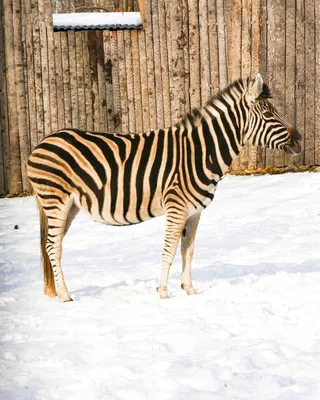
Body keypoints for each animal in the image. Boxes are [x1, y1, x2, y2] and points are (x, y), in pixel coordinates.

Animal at [26, 74, 300, 304]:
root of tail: (42, 142)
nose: (300, 139)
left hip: (68, 206)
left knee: (53, 245)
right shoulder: (176, 207)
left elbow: (188, 251)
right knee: (52, 246)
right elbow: (168, 251)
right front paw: (163, 294)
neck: (201, 153)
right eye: (269, 115)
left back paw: (56, 292)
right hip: (56, 201)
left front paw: (189, 290)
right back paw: (65, 296)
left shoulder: (194, 212)